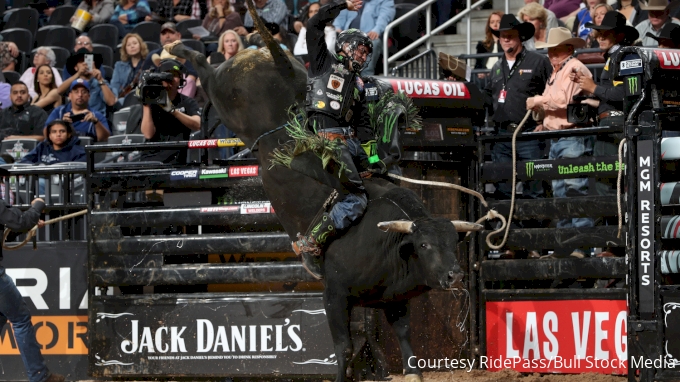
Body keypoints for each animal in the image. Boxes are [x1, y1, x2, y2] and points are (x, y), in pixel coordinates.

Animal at [167, 14, 480, 380]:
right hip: (222, 94)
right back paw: (174, 48)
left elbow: (405, 340)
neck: (389, 240)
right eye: (426, 245)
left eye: (453, 242)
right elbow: (343, 348)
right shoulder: (335, 295)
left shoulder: (393, 300)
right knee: (203, 66)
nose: (454, 276)